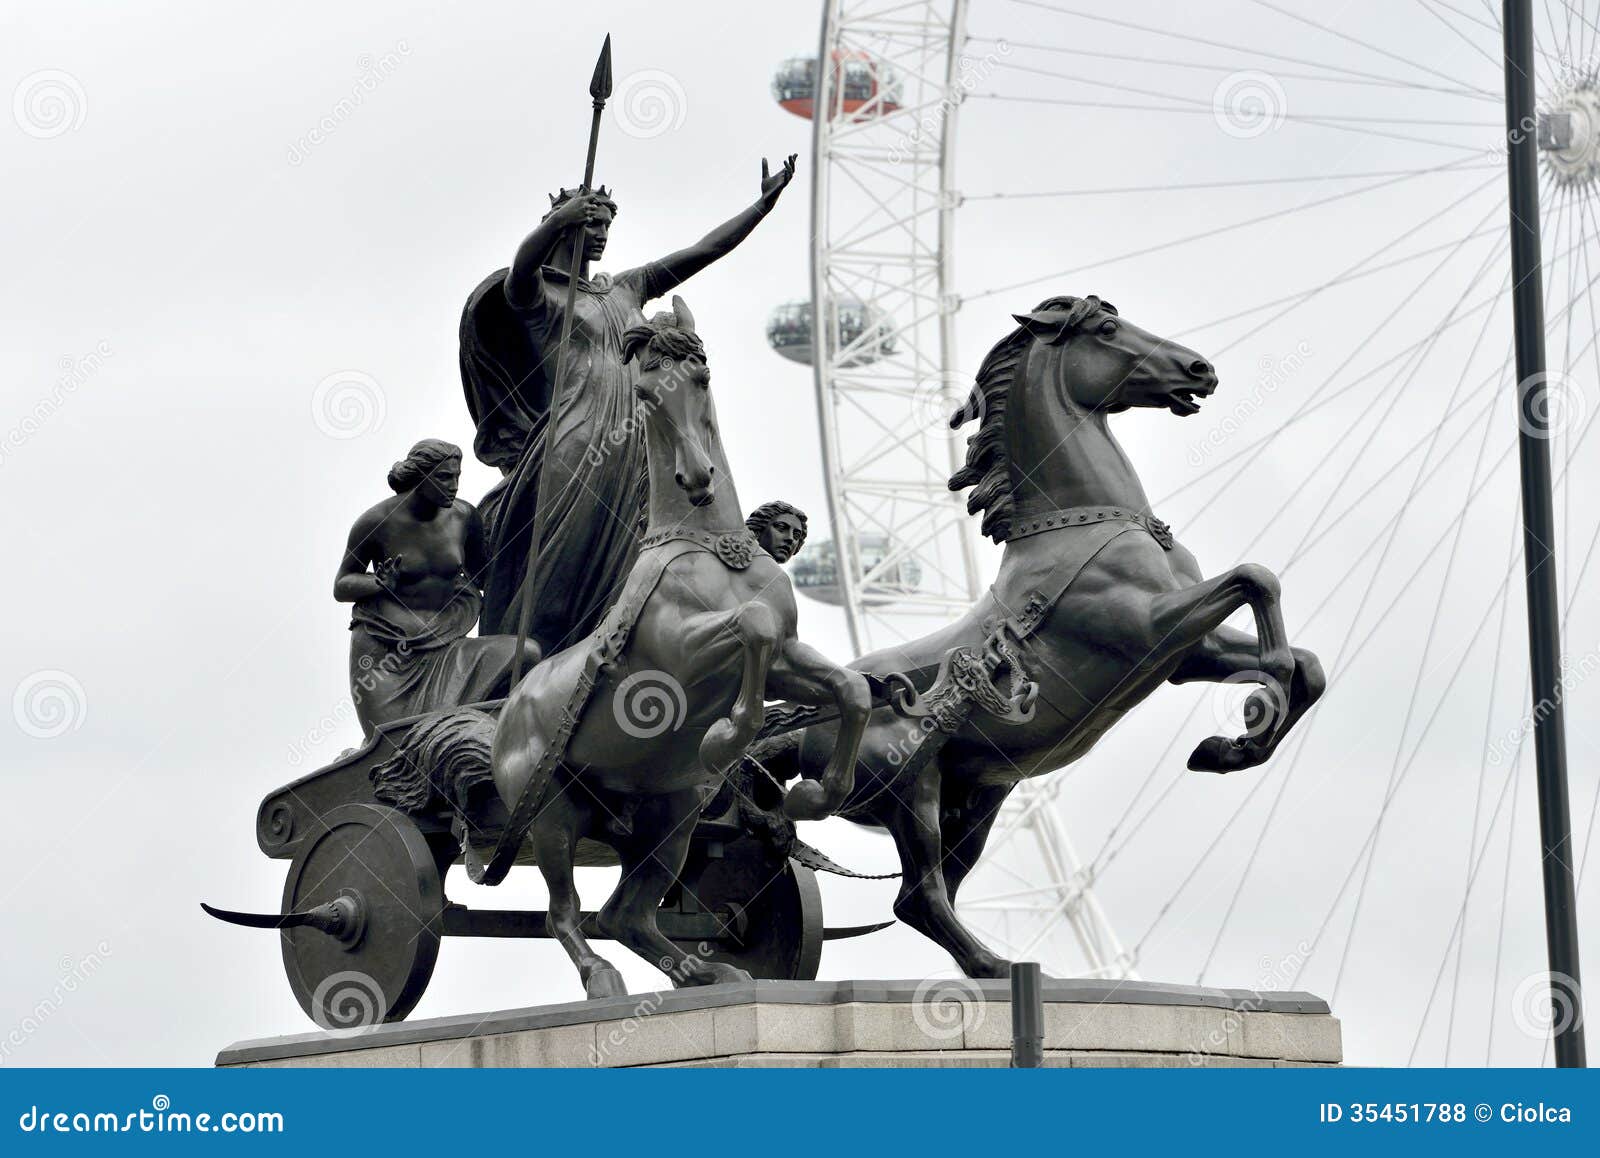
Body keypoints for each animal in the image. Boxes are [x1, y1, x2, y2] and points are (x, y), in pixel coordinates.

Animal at [492, 299, 876, 998]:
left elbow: (850, 687)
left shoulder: (788, 660)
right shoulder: (681, 659)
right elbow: (751, 625)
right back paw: (602, 977)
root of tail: (509, 708)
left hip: (668, 819)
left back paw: (706, 969)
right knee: (565, 912)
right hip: (552, 815)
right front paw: (725, 741)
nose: (697, 478)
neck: (714, 549)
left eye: (701, 376)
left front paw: (814, 796)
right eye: (644, 392)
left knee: (625, 913)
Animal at [768, 295, 1318, 978]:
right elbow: (1258, 579)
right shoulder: (1149, 628)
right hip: (911, 793)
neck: (1083, 524)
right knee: (919, 895)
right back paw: (1000, 969)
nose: (1201, 368)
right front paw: (1254, 713)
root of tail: (810, 722)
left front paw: (1230, 748)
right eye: (1107, 330)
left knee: (929, 895)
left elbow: (1308, 663)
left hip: (976, 801)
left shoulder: (1187, 653)